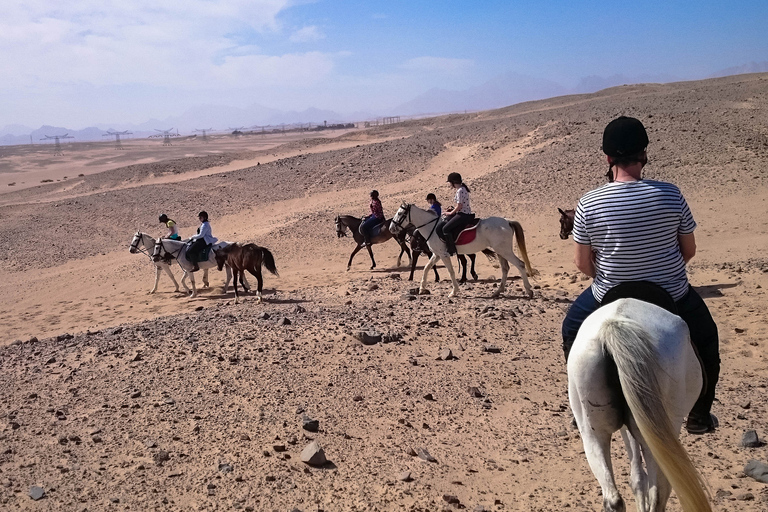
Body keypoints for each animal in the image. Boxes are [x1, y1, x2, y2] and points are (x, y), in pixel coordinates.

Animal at [390, 203, 537, 298]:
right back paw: (497, 292)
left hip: (504, 250)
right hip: (500, 251)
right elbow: (426, 268)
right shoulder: (437, 254)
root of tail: (507, 221)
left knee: (520, 264)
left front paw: (454, 292)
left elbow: (451, 271)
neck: (431, 227)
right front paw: (422, 288)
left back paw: (528, 291)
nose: (391, 228)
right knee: (505, 269)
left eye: (400, 213)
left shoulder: (443, 255)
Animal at [568, 298, 710, 512]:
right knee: (660, 492)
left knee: (613, 498)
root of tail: (613, 325)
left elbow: (637, 477)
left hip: (593, 432)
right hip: (662, 433)